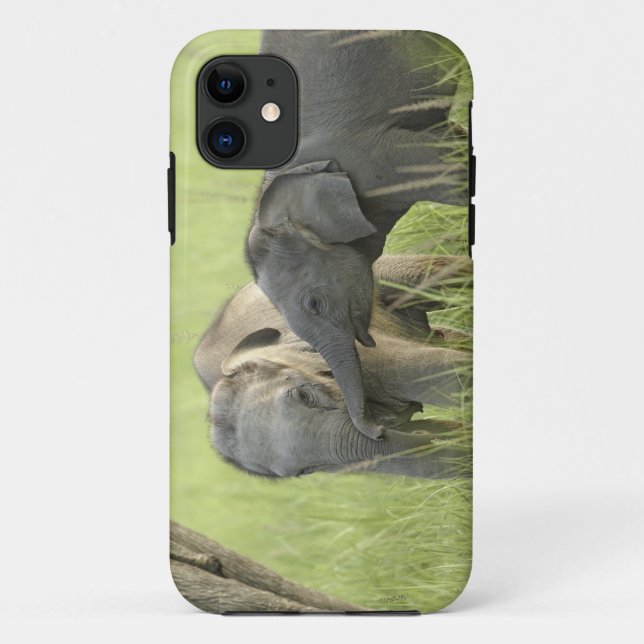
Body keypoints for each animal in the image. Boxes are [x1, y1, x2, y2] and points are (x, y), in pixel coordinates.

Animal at [195, 256, 472, 479]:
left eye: (303, 396)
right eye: (304, 472)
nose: (379, 431)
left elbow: (442, 372)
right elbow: (433, 463)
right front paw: (450, 437)